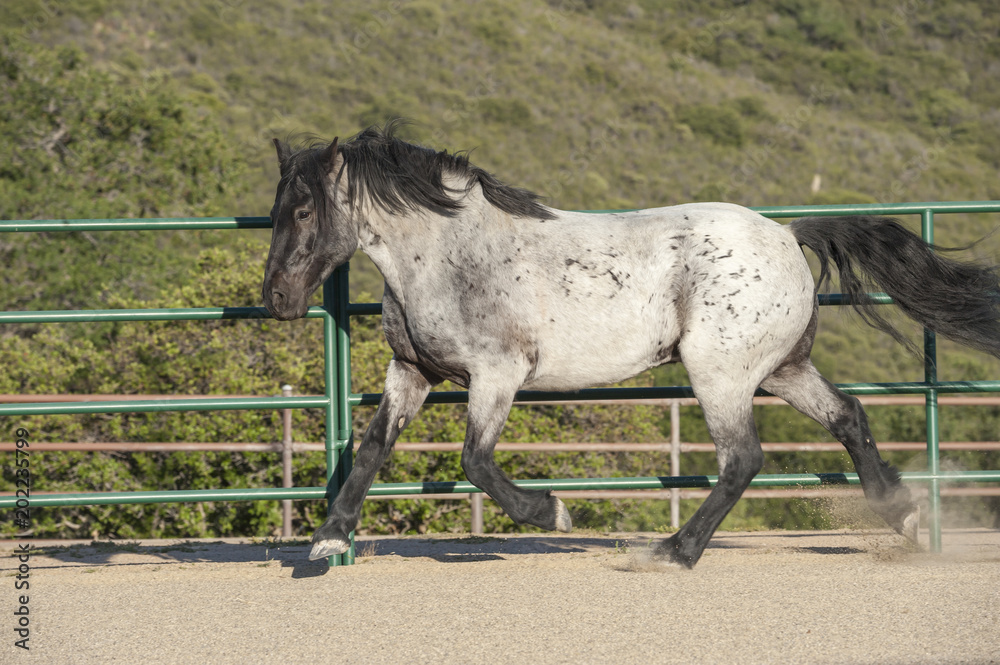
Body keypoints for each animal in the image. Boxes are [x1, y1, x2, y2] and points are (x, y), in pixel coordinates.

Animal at [260, 119, 1000, 564]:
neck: (449, 253)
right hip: (781, 368)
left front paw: (552, 513)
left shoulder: (497, 374)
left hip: (719, 371)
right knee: (847, 416)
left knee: (743, 458)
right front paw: (327, 540)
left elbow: (476, 461)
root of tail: (789, 233)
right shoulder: (410, 371)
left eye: (305, 210)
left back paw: (675, 550)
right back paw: (905, 517)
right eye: (275, 212)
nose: (277, 300)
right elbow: (370, 447)